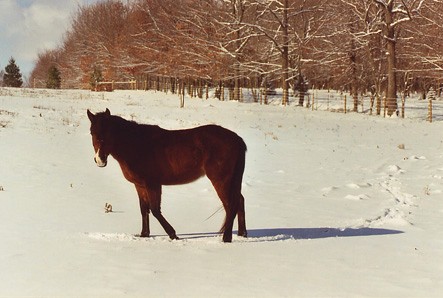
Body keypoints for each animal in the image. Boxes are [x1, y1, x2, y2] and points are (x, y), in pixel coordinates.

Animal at [86, 108, 246, 243]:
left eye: (107, 133)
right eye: (92, 133)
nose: (99, 160)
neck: (137, 145)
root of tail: (237, 139)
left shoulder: (153, 184)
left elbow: (155, 210)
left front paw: (173, 234)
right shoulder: (140, 185)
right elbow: (144, 209)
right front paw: (144, 234)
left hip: (221, 180)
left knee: (230, 204)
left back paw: (226, 238)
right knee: (239, 200)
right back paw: (242, 234)